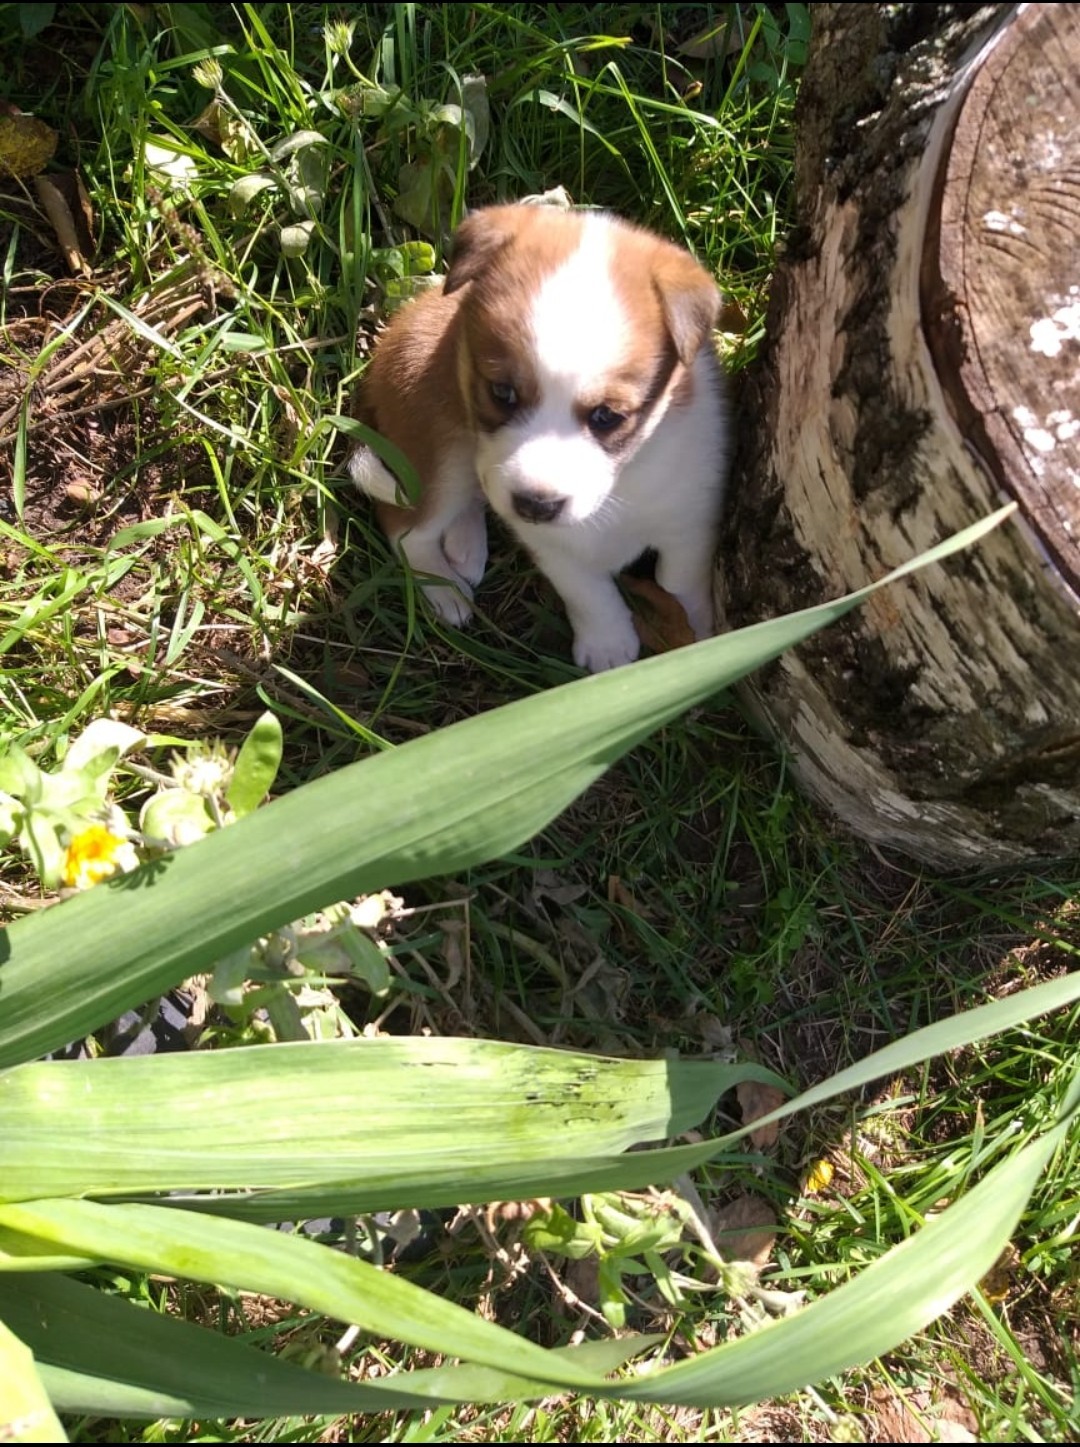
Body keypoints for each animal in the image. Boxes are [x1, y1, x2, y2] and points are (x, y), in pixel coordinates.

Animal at [348, 204, 726, 671]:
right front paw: (608, 645)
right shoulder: (552, 545)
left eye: (607, 416)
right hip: (442, 454)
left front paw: (699, 638)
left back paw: (466, 544)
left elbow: (677, 583)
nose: (534, 505)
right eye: (502, 393)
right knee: (406, 529)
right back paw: (444, 587)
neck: (622, 483)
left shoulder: (691, 520)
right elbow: (588, 592)